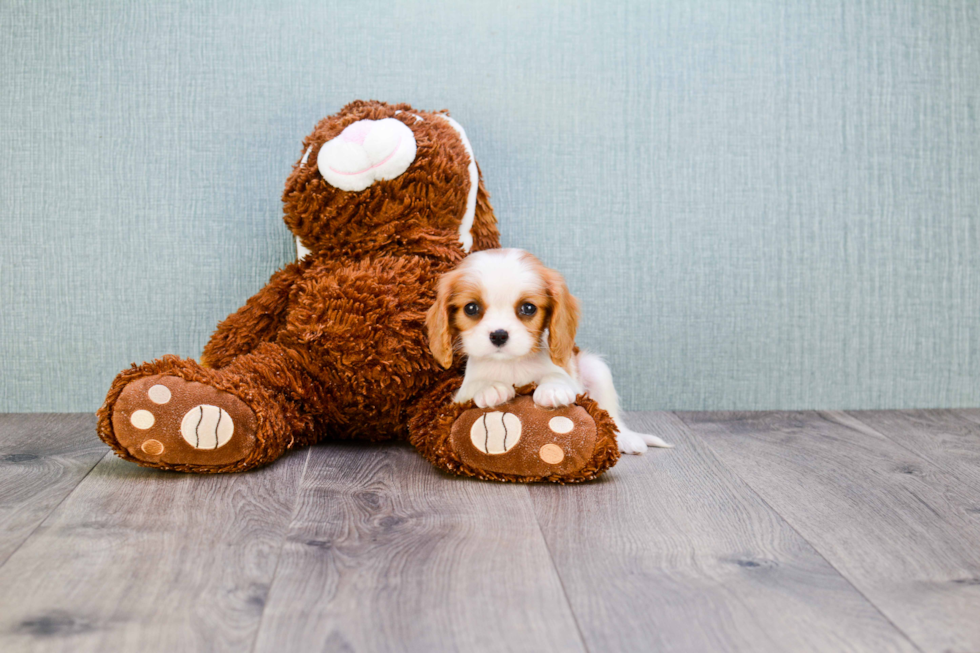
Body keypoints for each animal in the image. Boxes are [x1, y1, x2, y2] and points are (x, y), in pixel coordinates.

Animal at [424, 247, 668, 450]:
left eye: (528, 308)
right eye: (471, 308)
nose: (499, 335)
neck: (511, 363)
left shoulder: (572, 380)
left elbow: (557, 376)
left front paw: (552, 388)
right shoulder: (457, 398)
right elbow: (472, 386)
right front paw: (489, 387)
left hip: (596, 369)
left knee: (613, 416)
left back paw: (627, 439)